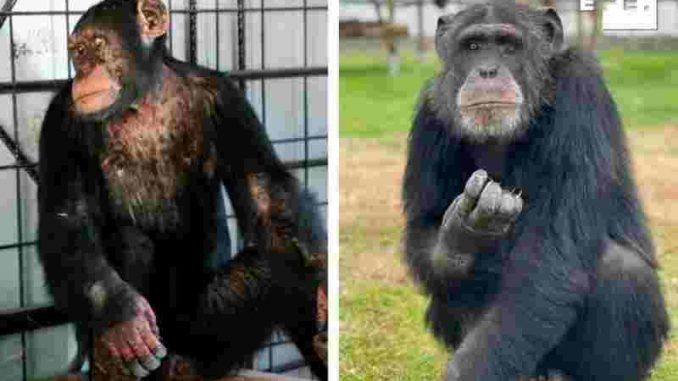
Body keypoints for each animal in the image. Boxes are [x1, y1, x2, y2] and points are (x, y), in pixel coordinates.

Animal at [37, 0, 330, 378]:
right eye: (77, 52)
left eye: (96, 45)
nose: (83, 75)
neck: (142, 98)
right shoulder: (62, 119)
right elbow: (68, 214)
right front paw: (121, 316)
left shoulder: (225, 98)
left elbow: (264, 190)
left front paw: (323, 288)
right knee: (132, 240)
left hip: (207, 332)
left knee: (279, 261)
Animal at [406, 3, 672, 380]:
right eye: (473, 46)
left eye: (508, 46)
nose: (487, 70)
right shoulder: (430, 113)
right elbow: (424, 223)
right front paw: (460, 238)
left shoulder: (580, 92)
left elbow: (550, 255)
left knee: (623, 270)